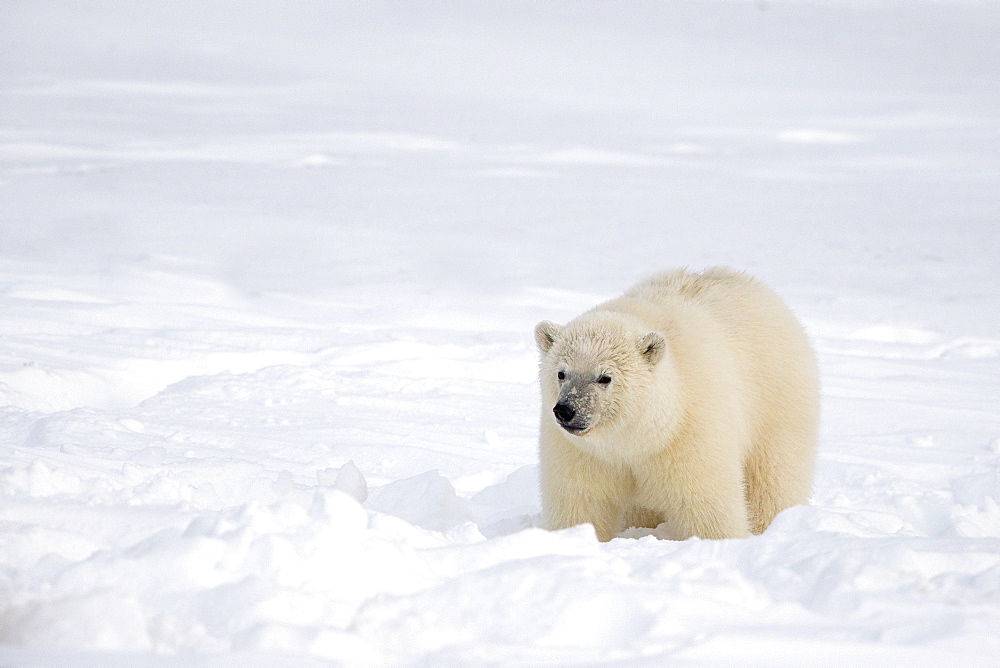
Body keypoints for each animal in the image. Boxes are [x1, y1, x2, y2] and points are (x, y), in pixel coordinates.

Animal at [536, 268, 816, 544]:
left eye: (605, 377)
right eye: (561, 373)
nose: (566, 410)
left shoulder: (689, 432)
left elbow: (704, 501)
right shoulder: (582, 453)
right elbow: (581, 500)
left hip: (776, 398)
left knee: (773, 475)